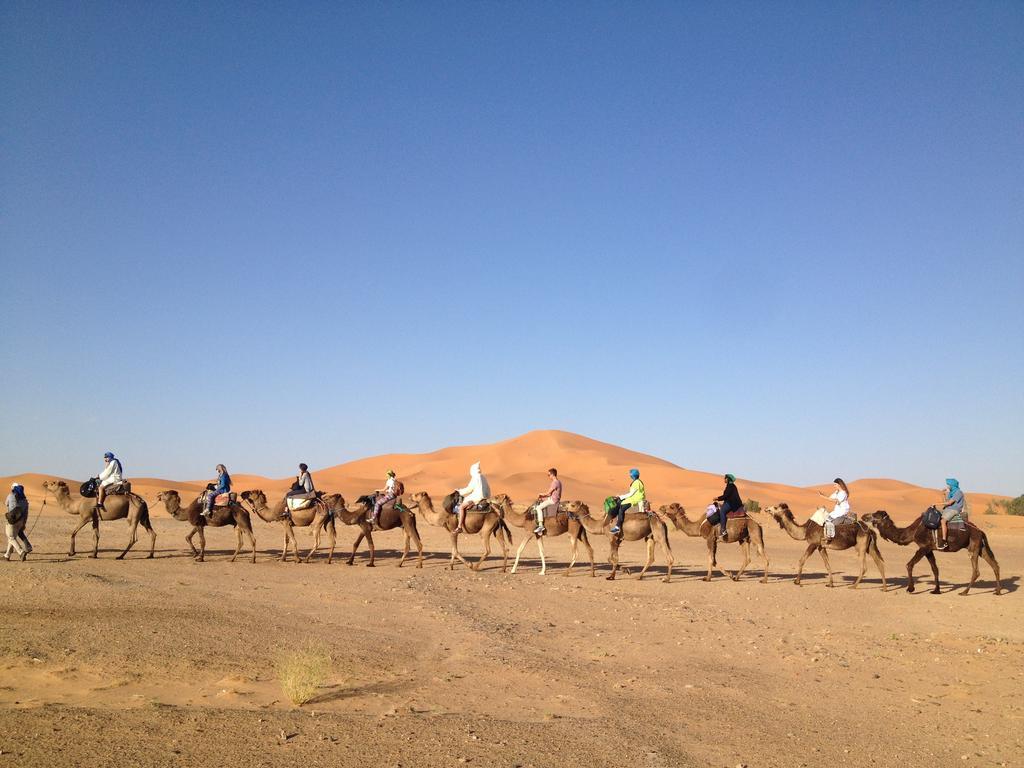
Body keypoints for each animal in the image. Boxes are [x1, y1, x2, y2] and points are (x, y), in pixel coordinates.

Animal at [860, 514, 1003, 598]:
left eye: (875, 515)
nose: (863, 516)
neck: (912, 531)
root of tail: (981, 531)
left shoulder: (924, 547)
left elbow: (909, 564)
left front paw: (910, 588)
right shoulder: (929, 549)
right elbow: (935, 569)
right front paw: (936, 590)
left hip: (973, 546)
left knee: (976, 570)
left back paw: (964, 592)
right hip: (981, 548)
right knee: (995, 565)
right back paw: (997, 591)